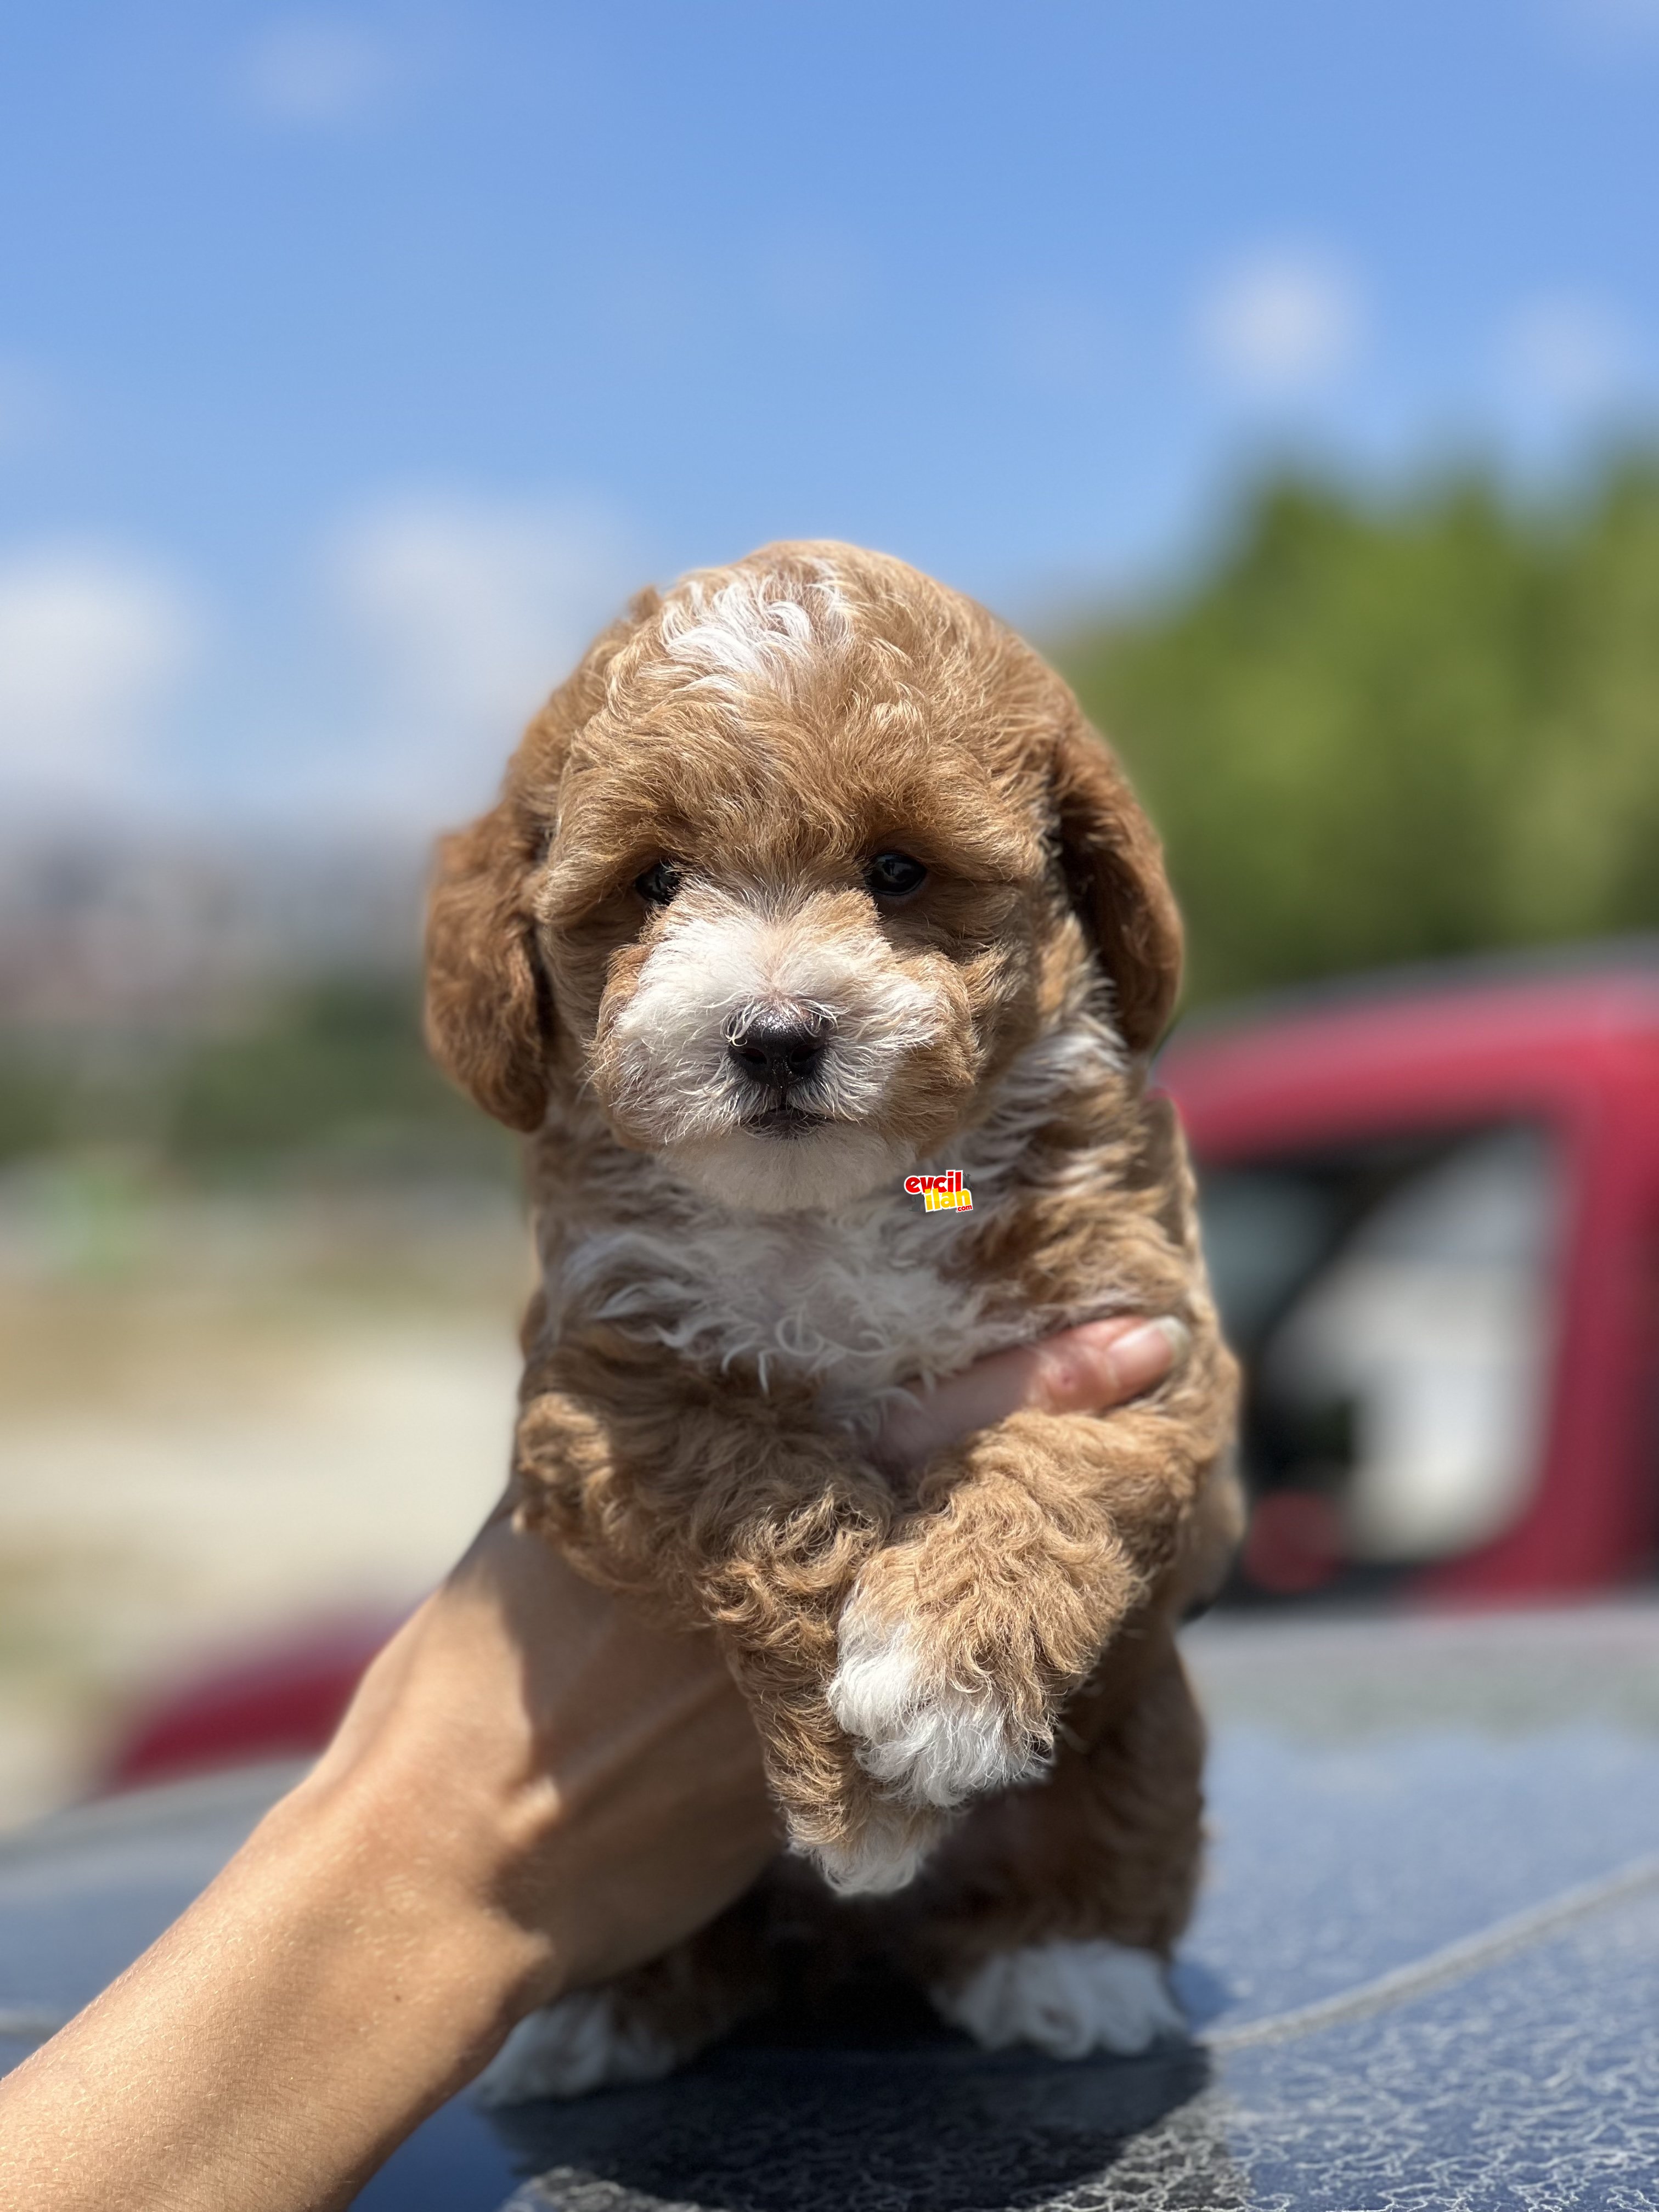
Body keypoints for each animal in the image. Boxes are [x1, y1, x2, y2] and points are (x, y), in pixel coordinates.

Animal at [422, 544, 1238, 2097]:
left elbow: (1064, 1465)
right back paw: (606, 2010)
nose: (778, 1034)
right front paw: (865, 1799)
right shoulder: (604, 1383)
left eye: (899, 871)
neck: (834, 1209)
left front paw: (943, 1675)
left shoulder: (1149, 1341)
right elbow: (760, 1487)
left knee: (1115, 1840)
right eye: (654, 881)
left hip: (1146, 1727)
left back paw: (1069, 1965)